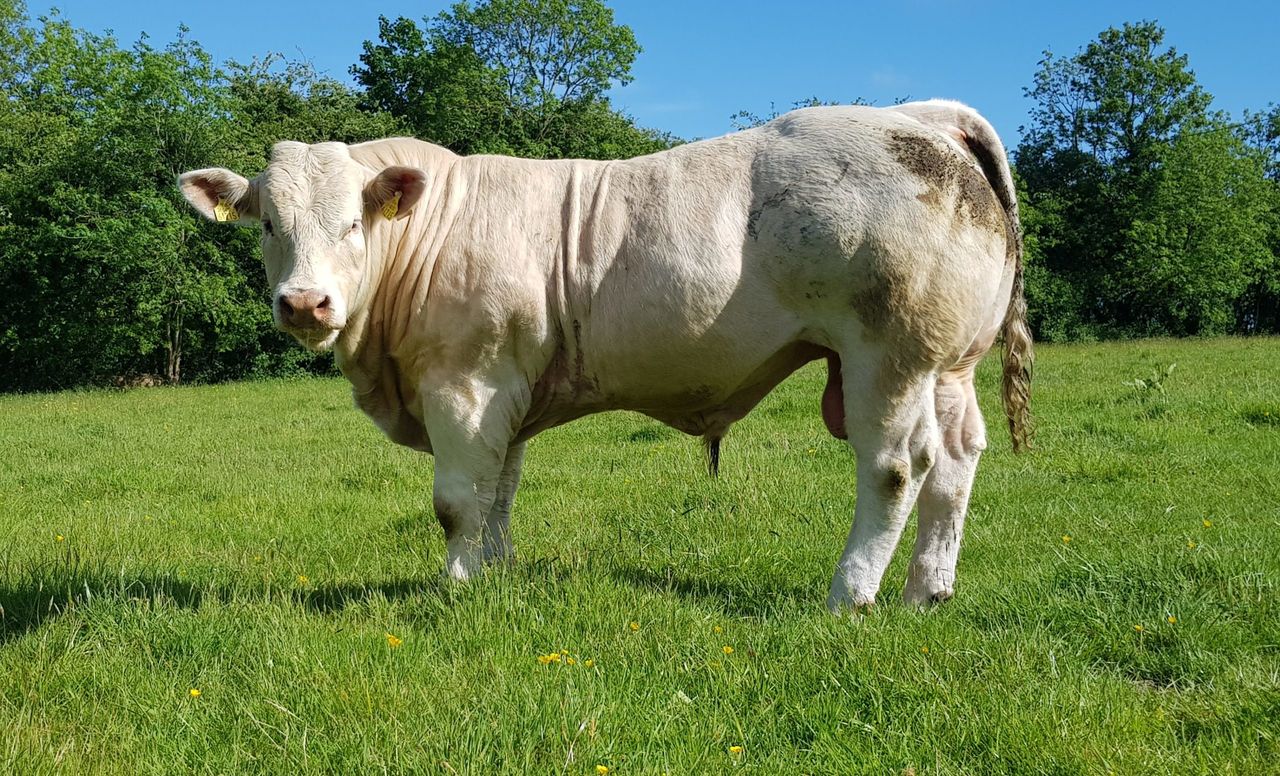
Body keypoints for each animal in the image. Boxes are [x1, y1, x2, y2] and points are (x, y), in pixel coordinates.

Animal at [178, 99, 1032, 611]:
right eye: (268, 224)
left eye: (353, 224)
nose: (304, 304)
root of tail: (917, 116)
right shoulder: (505, 393)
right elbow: (500, 492)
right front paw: (497, 575)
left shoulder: (464, 383)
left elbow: (457, 501)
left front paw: (457, 586)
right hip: (949, 364)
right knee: (957, 462)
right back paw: (927, 591)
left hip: (888, 356)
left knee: (896, 467)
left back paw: (850, 595)